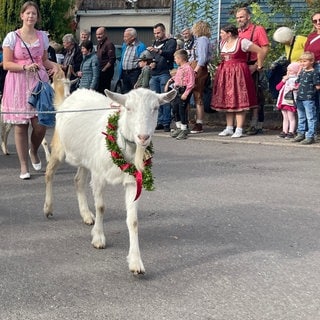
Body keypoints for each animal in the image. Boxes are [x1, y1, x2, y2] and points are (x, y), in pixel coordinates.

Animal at [42, 88, 176, 276]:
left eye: (156, 108)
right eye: (128, 108)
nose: (143, 137)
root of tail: (71, 96)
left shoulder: (133, 182)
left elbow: (133, 220)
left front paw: (136, 262)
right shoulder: (98, 175)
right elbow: (101, 207)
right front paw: (98, 238)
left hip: (86, 158)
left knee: (78, 181)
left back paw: (86, 215)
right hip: (60, 147)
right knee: (49, 174)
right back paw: (48, 208)